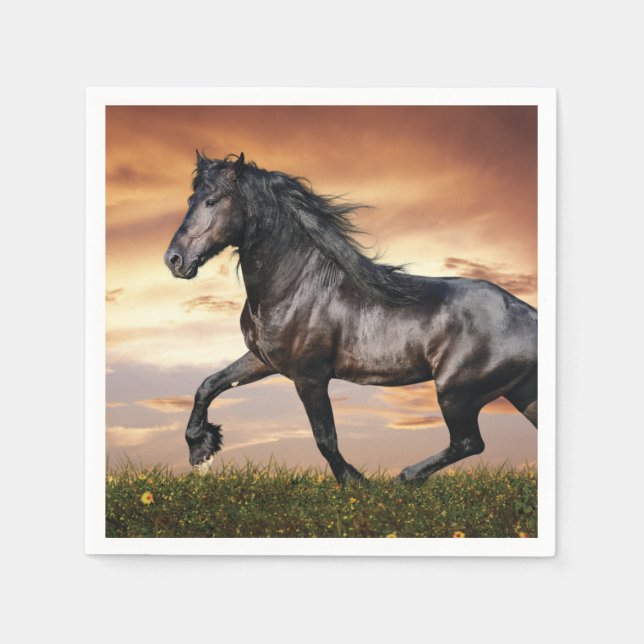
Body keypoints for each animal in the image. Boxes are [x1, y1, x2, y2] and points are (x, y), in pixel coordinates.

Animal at [164, 152, 538, 483]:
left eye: (212, 201)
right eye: (190, 198)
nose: (174, 259)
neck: (296, 286)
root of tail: (528, 314)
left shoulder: (310, 377)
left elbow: (325, 439)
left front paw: (356, 482)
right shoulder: (263, 360)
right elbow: (208, 385)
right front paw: (201, 450)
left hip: (456, 393)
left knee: (468, 443)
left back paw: (403, 479)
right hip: (521, 394)